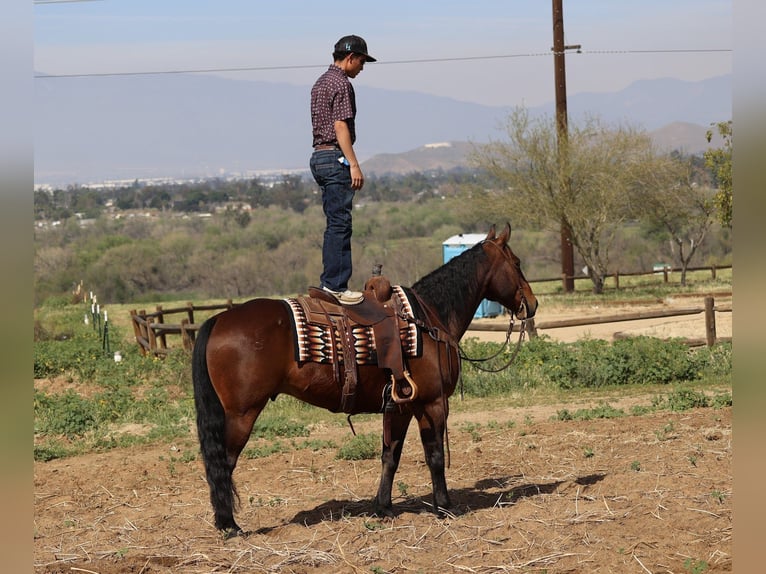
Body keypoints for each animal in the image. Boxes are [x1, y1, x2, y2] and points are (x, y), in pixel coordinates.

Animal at [192, 222, 537, 536]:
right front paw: (444, 506)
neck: (428, 318)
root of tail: (219, 319)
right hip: (242, 414)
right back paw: (229, 525)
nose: (532, 304)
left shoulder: (400, 406)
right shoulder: (432, 404)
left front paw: (383, 507)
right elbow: (435, 456)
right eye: (517, 263)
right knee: (223, 464)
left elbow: (390, 456)